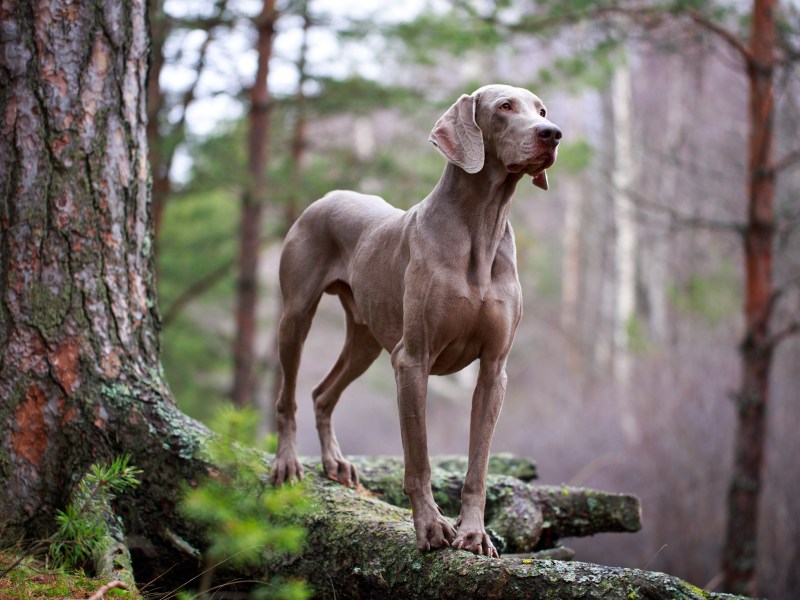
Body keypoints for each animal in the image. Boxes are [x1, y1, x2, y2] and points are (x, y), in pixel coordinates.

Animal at [272, 84, 560, 556]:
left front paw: (473, 534)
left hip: (366, 340)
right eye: (504, 107)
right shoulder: (412, 360)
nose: (552, 133)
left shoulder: (493, 370)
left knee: (321, 393)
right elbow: (418, 459)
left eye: (541, 110)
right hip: (296, 316)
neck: (481, 227)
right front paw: (430, 527)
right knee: (288, 396)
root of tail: (328, 196)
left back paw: (335, 463)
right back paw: (287, 463)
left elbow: (478, 466)